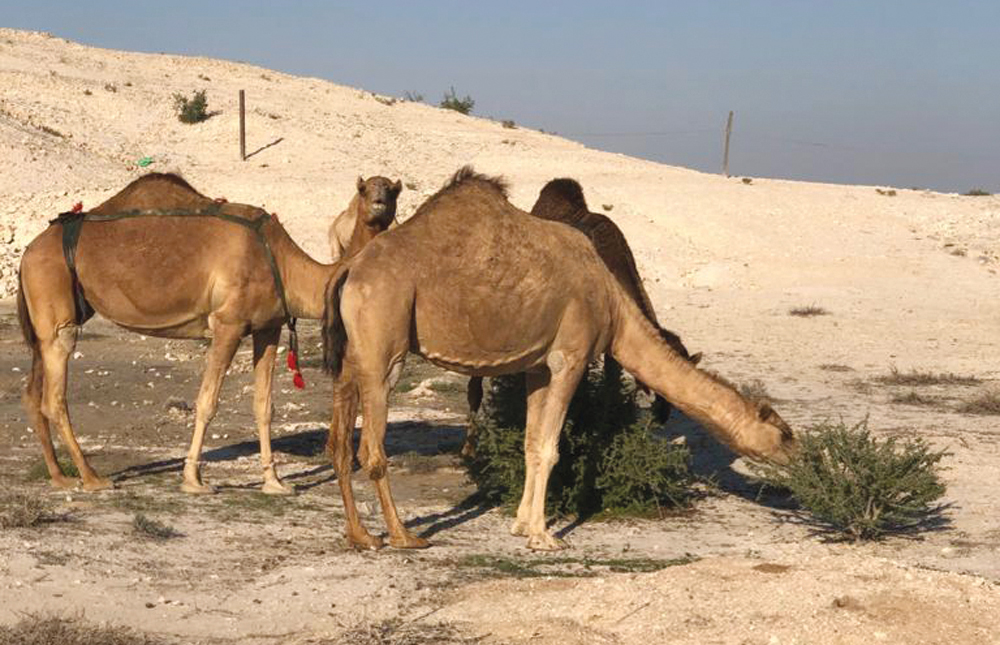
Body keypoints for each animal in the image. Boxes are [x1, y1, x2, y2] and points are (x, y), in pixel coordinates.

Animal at [17, 172, 359, 494]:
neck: (285, 264)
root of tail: (27, 254)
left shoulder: (268, 327)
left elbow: (264, 406)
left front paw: (274, 482)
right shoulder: (228, 323)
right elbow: (207, 403)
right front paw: (194, 480)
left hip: (52, 317)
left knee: (33, 392)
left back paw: (59, 476)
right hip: (55, 305)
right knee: (54, 396)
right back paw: (91, 478)